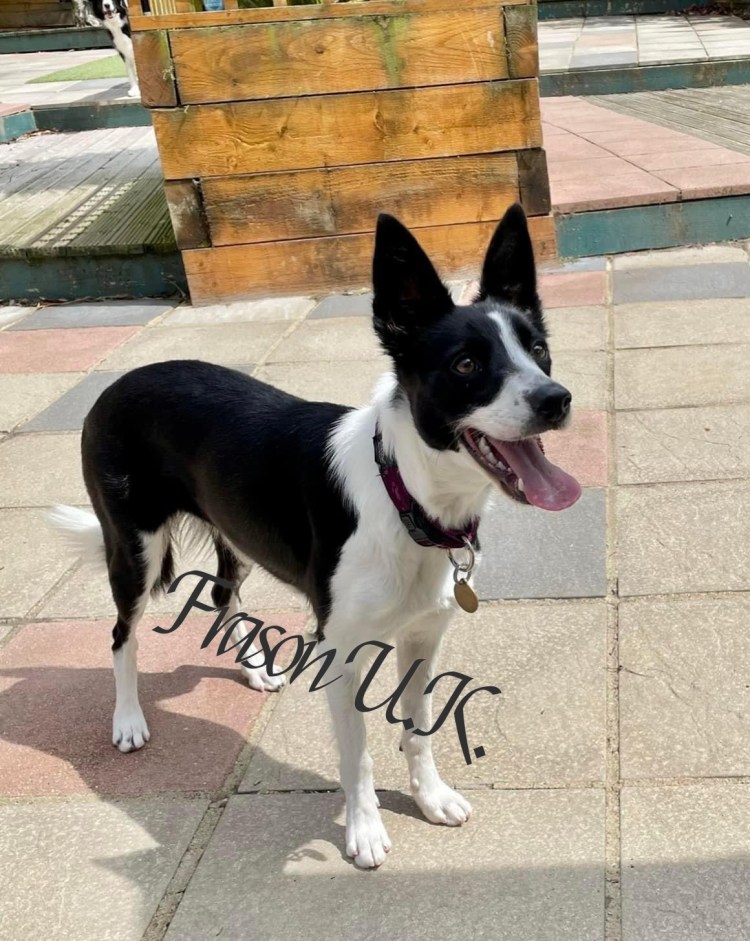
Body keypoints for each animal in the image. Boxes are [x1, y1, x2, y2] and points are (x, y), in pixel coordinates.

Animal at [51, 205, 580, 868]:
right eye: (466, 365)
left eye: (539, 351)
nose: (556, 399)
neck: (405, 496)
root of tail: (119, 382)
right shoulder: (343, 651)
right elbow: (357, 755)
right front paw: (364, 832)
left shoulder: (423, 636)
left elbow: (418, 728)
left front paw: (430, 798)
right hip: (135, 550)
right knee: (122, 634)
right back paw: (127, 721)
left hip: (237, 532)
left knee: (223, 593)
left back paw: (254, 668)